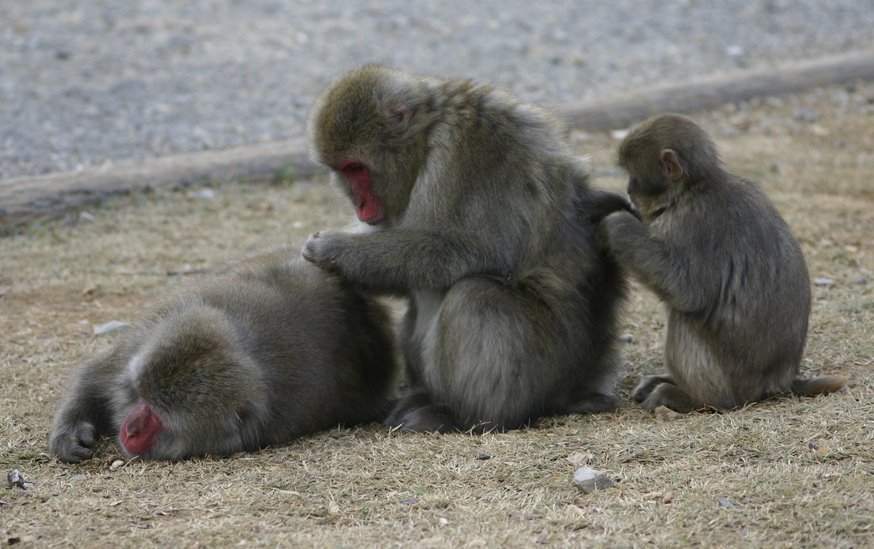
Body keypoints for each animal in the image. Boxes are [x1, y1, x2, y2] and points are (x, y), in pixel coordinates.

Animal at [48, 258, 397, 462]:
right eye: (138, 396)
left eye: (156, 417)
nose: (130, 429)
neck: (248, 353)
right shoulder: (142, 340)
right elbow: (95, 375)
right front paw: (70, 434)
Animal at [301, 65, 628, 432]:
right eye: (342, 171)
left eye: (356, 168)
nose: (358, 204)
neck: (426, 138)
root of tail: (583, 380)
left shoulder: (466, 152)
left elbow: (457, 250)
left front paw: (331, 249)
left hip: (546, 365)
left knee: (474, 296)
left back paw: (463, 415)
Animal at [600, 113, 846, 413]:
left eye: (634, 175)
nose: (629, 189)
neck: (694, 187)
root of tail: (779, 381)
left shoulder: (690, 222)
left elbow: (687, 290)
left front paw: (618, 224)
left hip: (728, 381)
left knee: (685, 315)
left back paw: (688, 397)